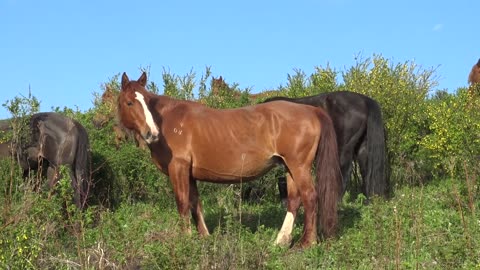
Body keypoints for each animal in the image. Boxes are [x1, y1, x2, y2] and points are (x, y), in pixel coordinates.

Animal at [117, 71, 342, 247]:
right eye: (130, 102)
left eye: (146, 102)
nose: (151, 133)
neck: (170, 123)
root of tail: (311, 110)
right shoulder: (190, 174)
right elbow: (195, 204)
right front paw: (204, 237)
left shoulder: (178, 168)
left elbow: (182, 203)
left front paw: (185, 239)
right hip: (289, 166)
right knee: (294, 200)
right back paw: (280, 241)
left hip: (299, 166)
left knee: (310, 197)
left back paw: (306, 243)